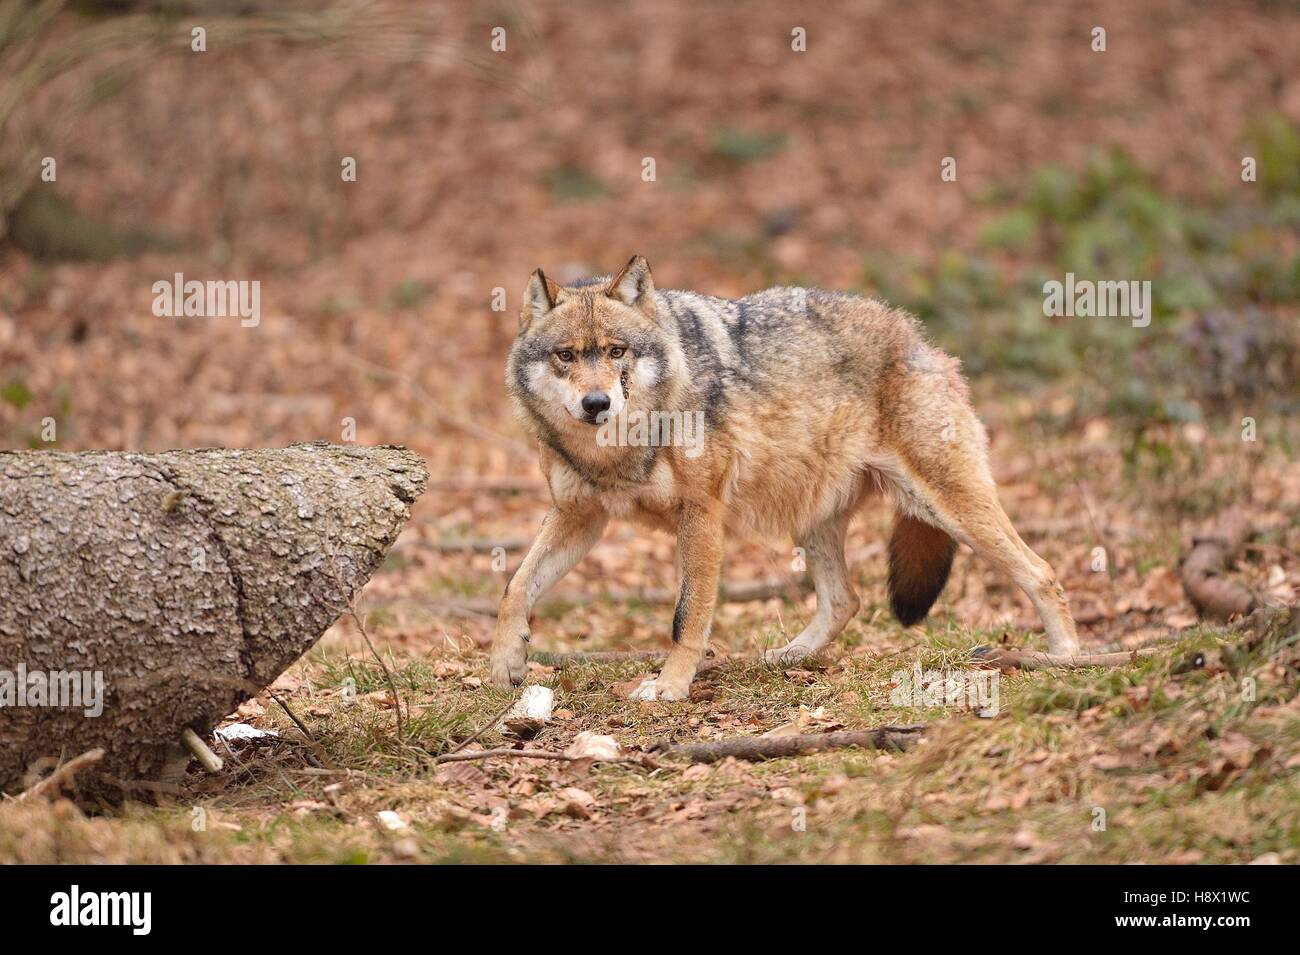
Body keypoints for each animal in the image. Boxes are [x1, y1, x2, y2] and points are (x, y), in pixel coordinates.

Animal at [490, 256, 1079, 700]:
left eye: (617, 351)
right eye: (566, 356)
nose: (597, 403)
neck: (615, 452)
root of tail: (918, 336)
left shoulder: (702, 515)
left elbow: (686, 616)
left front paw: (669, 687)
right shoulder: (580, 516)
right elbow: (516, 587)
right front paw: (505, 665)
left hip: (947, 507)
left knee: (1043, 571)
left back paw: (1067, 659)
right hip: (815, 518)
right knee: (845, 601)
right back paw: (788, 657)